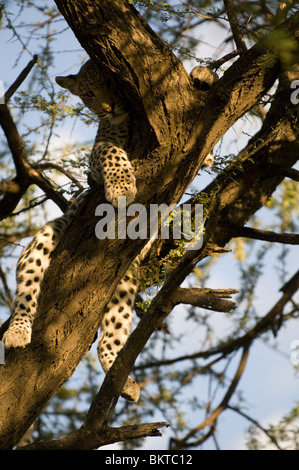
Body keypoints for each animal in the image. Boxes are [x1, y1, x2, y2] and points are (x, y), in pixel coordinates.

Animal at [1, 58, 219, 402]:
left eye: (112, 83)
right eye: (89, 93)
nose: (110, 107)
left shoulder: (202, 150)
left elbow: (207, 150)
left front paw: (202, 75)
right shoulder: (98, 155)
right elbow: (111, 152)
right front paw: (121, 187)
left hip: (125, 277)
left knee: (113, 331)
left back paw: (120, 375)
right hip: (46, 240)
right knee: (27, 288)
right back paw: (17, 332)